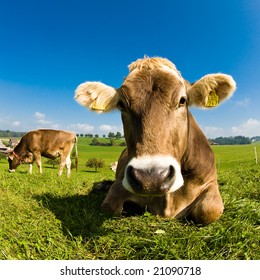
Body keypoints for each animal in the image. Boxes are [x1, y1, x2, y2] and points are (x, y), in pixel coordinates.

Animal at [73, 57, 236, 225]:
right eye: (122, 104)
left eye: (182, 100)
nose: (151, 178)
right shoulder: (120, 184)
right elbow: (110, 206)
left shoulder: (210, 182)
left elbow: (209, 210)